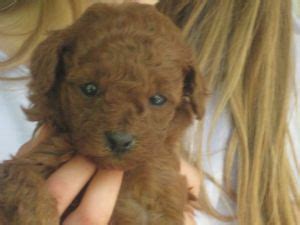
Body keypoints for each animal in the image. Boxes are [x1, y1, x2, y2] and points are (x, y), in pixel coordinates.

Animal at [0, 2, 205, 225]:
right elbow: (22, 178)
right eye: (90, 89)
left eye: (158, 100)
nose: (120, 141)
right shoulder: (39, 156)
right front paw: (38, 216)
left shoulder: (160, 189)